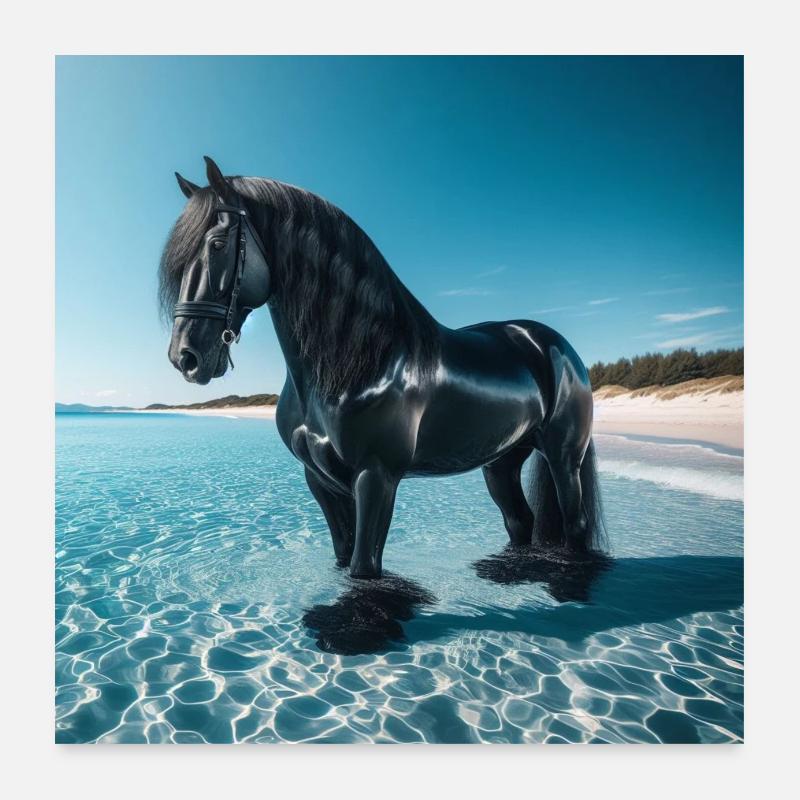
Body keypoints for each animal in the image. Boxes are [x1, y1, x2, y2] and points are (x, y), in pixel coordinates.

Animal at [160, 156, 606, 580]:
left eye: (217, 243)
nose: (185, 357)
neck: (360, 360)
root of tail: (554, 345)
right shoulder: (319, 480)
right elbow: (344, 557)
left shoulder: (376, 477)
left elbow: (365, 567)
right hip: (501, 461)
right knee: (519, 521)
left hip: (563, 458)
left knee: (575, 524)